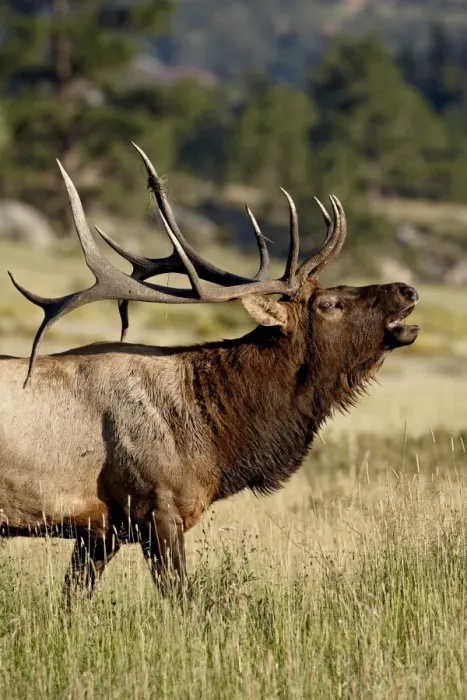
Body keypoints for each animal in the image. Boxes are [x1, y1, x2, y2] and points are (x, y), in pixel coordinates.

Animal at [0, 145, 419, 602]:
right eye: (329, 304)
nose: (408, 289)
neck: (216, 439)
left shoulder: (102, 528)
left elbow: (71, 598)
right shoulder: (156, 505)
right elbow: (182, 598)